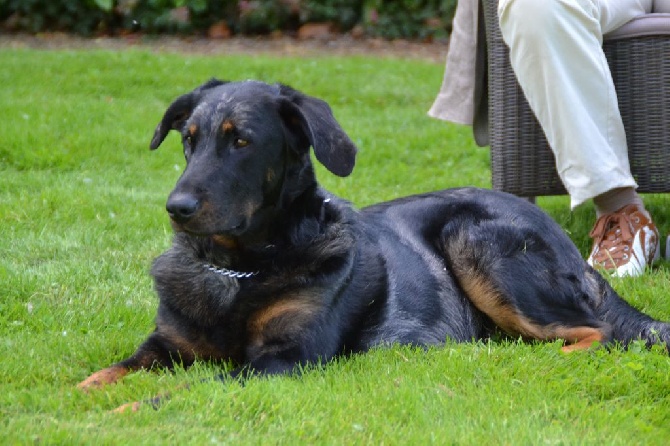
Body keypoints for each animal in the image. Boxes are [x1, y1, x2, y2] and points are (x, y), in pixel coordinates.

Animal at [80, 78, 670, 396]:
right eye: (189, 140)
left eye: (241, 140)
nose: (176, 208)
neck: (240, 267)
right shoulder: (166, 345)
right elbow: (110, 371)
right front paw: (78, 398)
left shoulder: (284, 361)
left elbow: (183, 391)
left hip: (478, 240)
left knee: (598, 332)